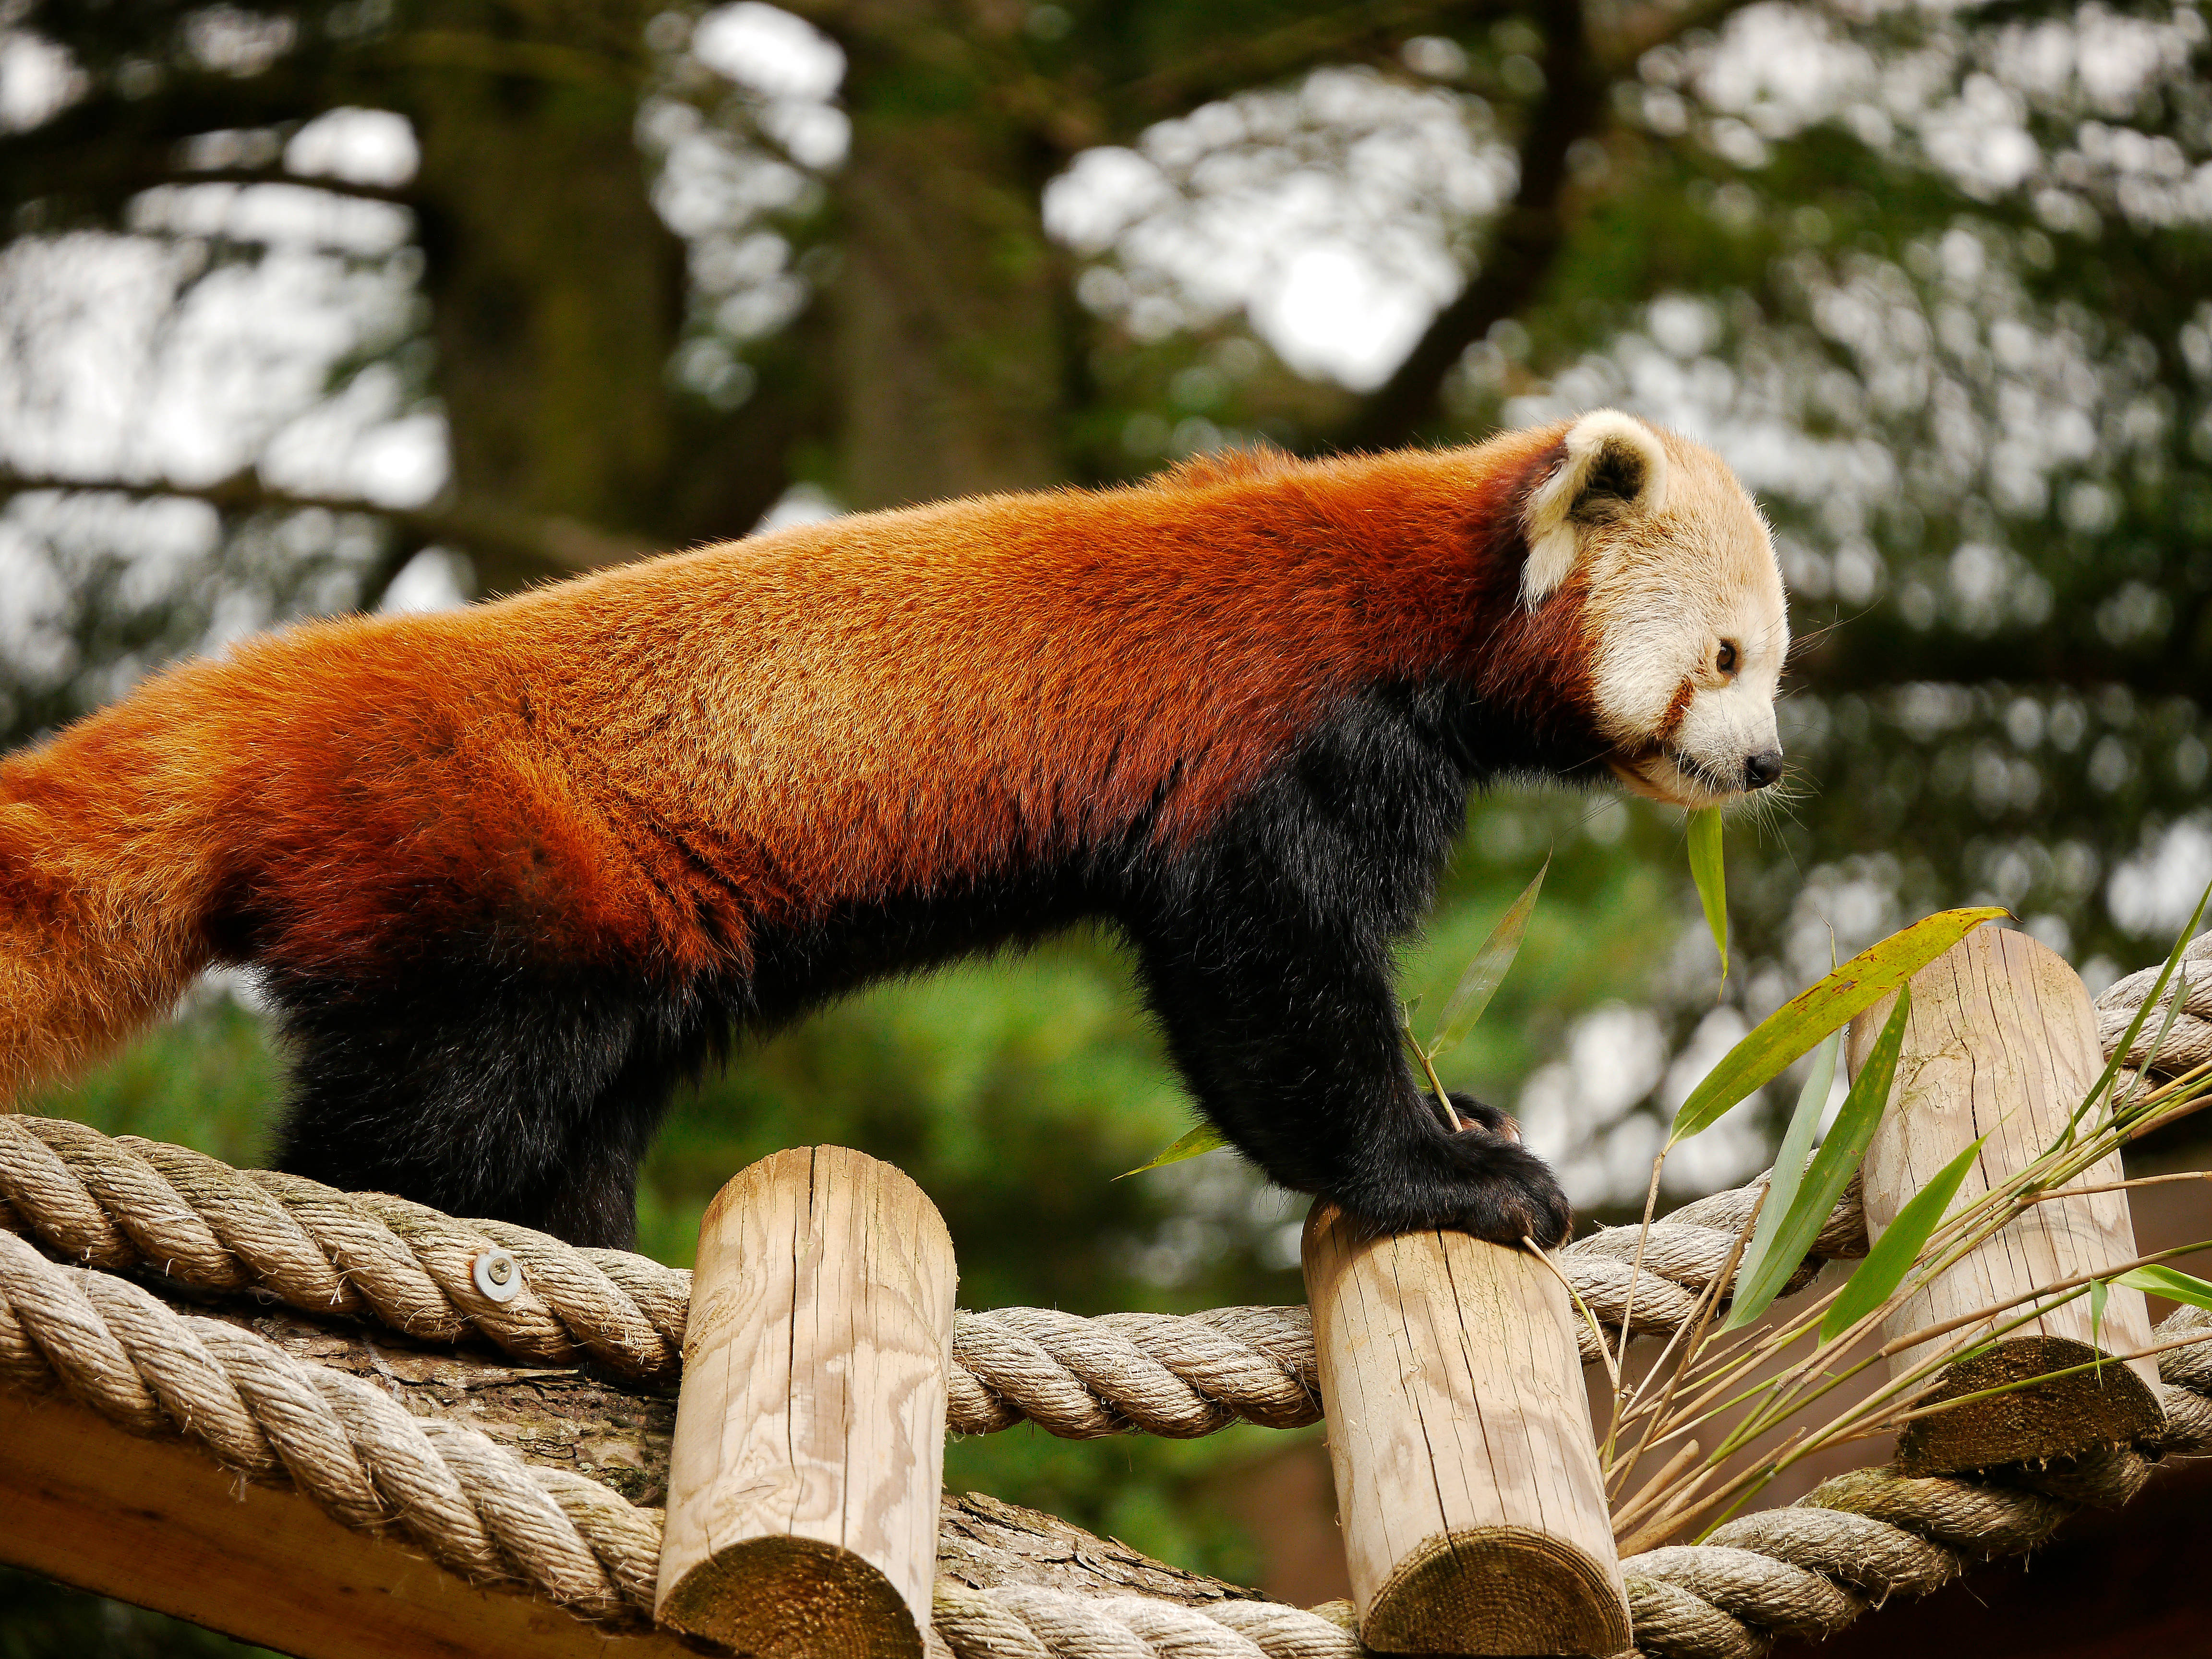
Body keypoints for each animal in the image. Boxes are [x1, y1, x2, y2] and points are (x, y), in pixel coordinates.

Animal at [0, 410, 1788, 1249]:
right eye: (1725, 658)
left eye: (1775, 662)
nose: (1766, 765)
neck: (1423, 594)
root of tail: (274, 691)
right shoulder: (1280, 742)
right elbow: (1267, 988)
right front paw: (1443, 1168)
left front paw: (1458, 1108)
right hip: (483, 867)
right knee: (439, 1108)